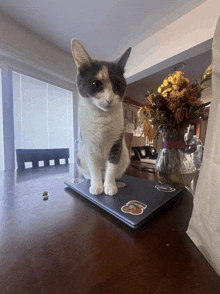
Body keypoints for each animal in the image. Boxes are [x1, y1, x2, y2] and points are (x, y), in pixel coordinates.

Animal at [71, 39, 131, 195]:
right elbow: (94, 168)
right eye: (96, 84)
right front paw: (97, 186)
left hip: (125, 155)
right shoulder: (89, 145)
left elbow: (112, 166)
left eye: (118, 85)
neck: (102, 117)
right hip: (80, 155)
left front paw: (109, 186)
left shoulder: (117, 143)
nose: (109, 99)